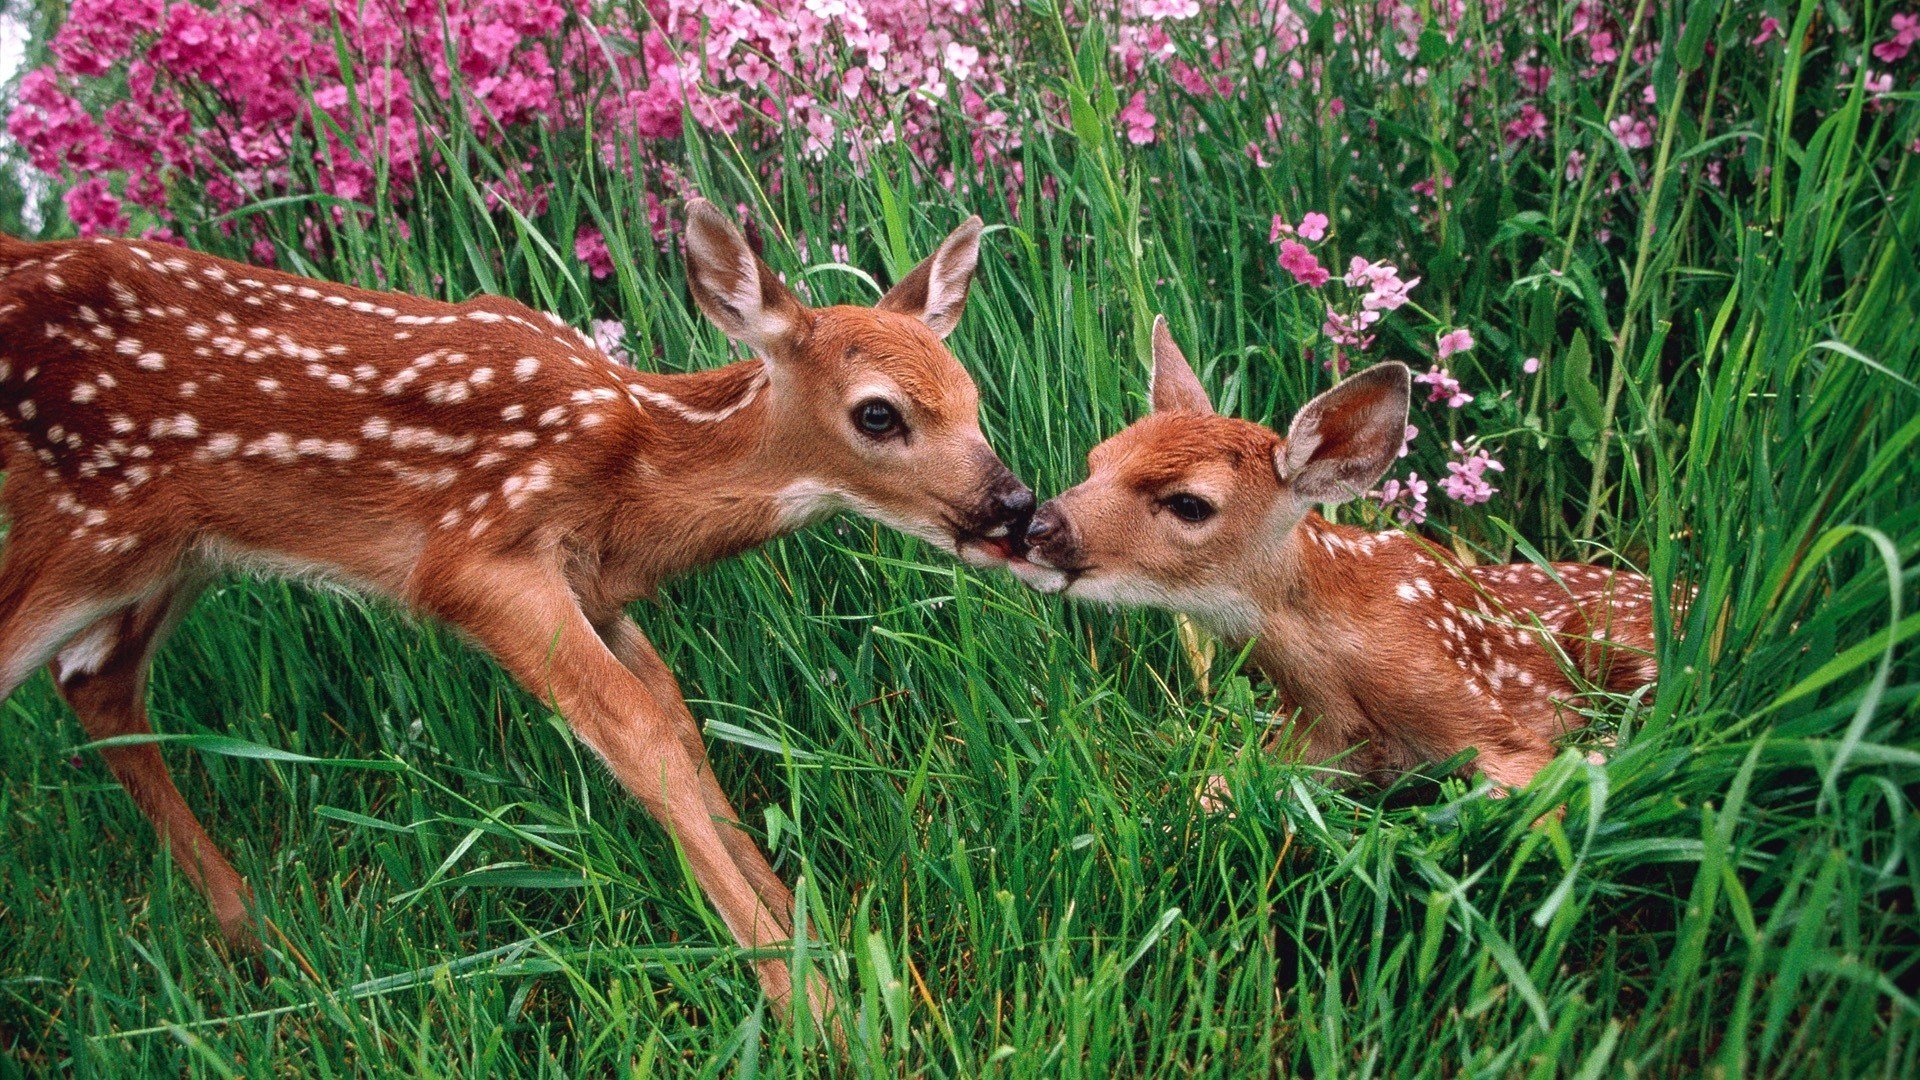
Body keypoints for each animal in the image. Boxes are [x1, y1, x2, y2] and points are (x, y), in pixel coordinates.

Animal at [0, 200, 1036, 1027]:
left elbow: (675, 718)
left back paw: (258, 936)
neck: (630, 470)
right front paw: (815, 1010)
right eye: (878, 414)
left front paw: (816, 941)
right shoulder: (478, 559)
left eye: (972, 397)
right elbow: (637, 739)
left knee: (94, 679)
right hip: (84, 521)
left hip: (173, 549)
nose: (1016, 506)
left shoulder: (594, 589)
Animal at [1012, 316, 1677, 793]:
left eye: (1190, 504)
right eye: (1097, 459)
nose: (1038, 525)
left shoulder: (1485, 716)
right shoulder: (1311, 744)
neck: (1335, 676)